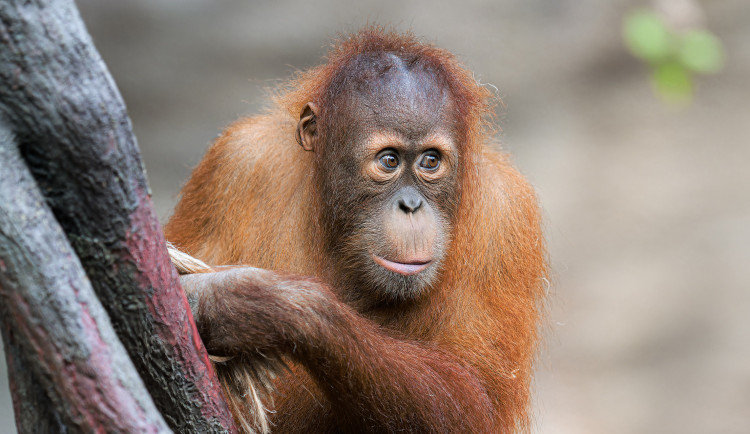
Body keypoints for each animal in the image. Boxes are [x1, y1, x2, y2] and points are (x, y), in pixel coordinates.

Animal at [165, 27, 547, 433]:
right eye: (389, 160)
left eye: (430, 161)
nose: (411, 205)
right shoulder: (233, 161)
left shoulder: (507, 216)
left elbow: (476, 396)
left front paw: (252, 301)